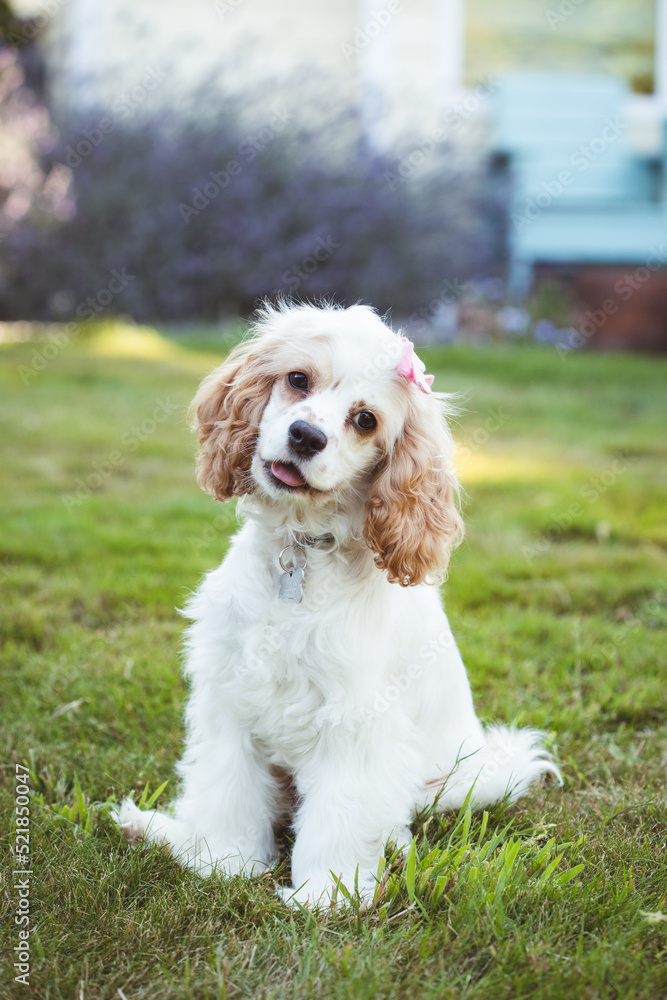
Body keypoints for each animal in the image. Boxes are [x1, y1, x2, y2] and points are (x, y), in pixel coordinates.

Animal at [117, 300, 560, 904]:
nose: (305, 435)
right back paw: (153, 828)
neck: (301, 554)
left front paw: (321, 899)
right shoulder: (231, 697)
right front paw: (225, 864)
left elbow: (338, 818)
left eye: (365, 420)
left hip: (451, 780)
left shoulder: (355, 723)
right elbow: (228, 792)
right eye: (297, 380)